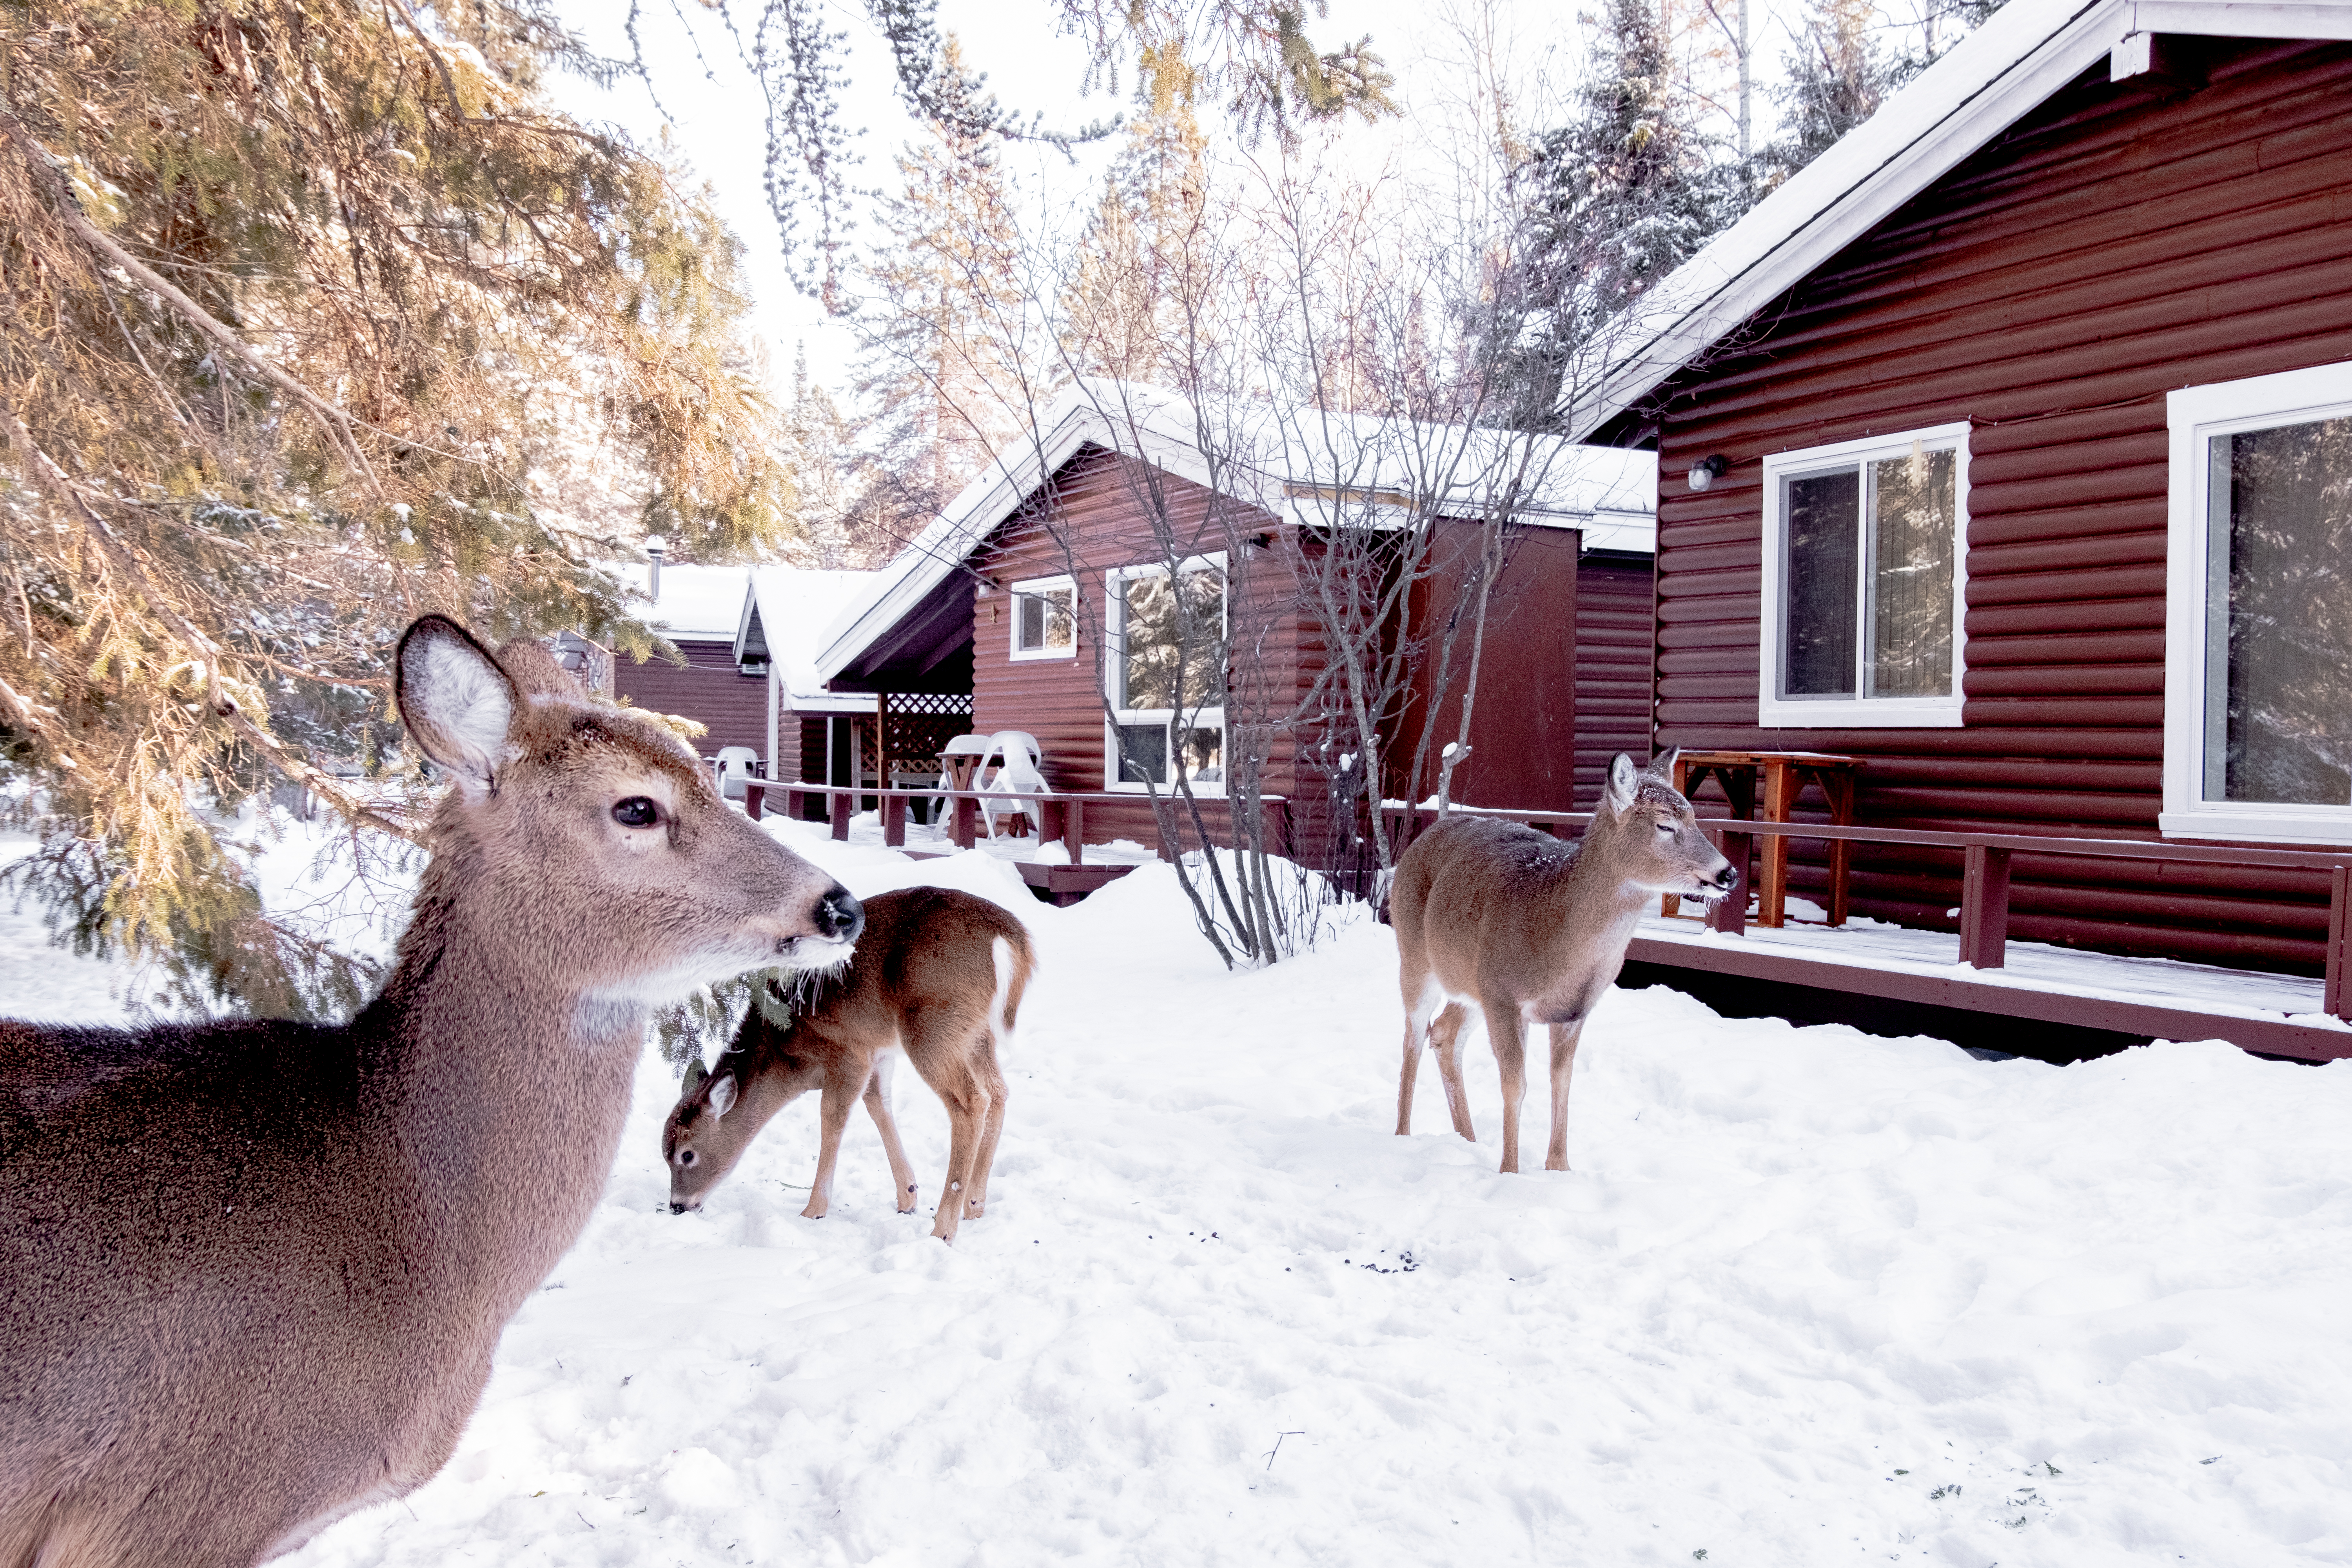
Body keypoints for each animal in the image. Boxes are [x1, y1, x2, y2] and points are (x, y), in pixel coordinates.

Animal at [663, 888, 1030, 1241]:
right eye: (664, 1153)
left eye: (686, 1154)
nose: (677, 1206)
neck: (784, 1055)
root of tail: (1009, 936)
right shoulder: (877, 1053)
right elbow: (878, 1104)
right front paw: (908, 1196)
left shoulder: (849, 1054)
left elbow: (833, 1118)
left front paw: (814, 1210)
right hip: (975, 1033)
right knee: (998, 1091)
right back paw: (975, 1205)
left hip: (932, 1026)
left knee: (971, 1102)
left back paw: (943, 1230)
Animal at [1383, 752, 1740, 1175]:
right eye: (1665, 824)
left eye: (1695, 818)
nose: (1729, 873)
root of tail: (1412, 849)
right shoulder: (1503, 995)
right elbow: (1516, 1084)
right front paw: (1510, 1171)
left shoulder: (1572, 1008)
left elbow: (1562, 1081)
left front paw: (1559, 1168)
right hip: (1415, 956)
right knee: (1413, 1037)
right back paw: (1403, 1134)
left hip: (1470, 983)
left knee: (1443, 1034)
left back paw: (1467, 1140)